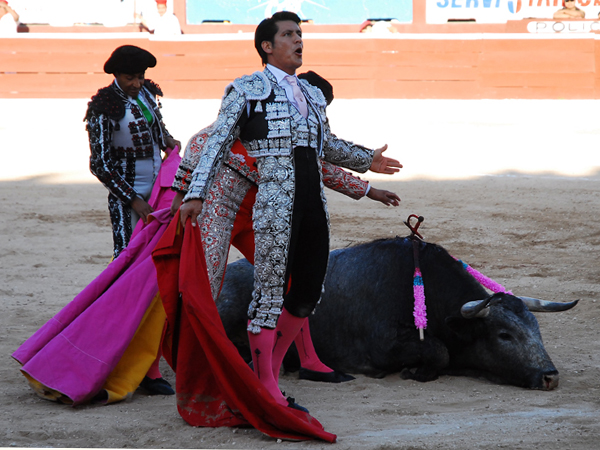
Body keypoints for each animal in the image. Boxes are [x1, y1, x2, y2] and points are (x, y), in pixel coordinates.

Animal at [216, 236, 578, 391]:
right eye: (504, 335)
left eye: (537, 330)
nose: (550, 376)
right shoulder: (384, 345)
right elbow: (439, 350)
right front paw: (414, 372)